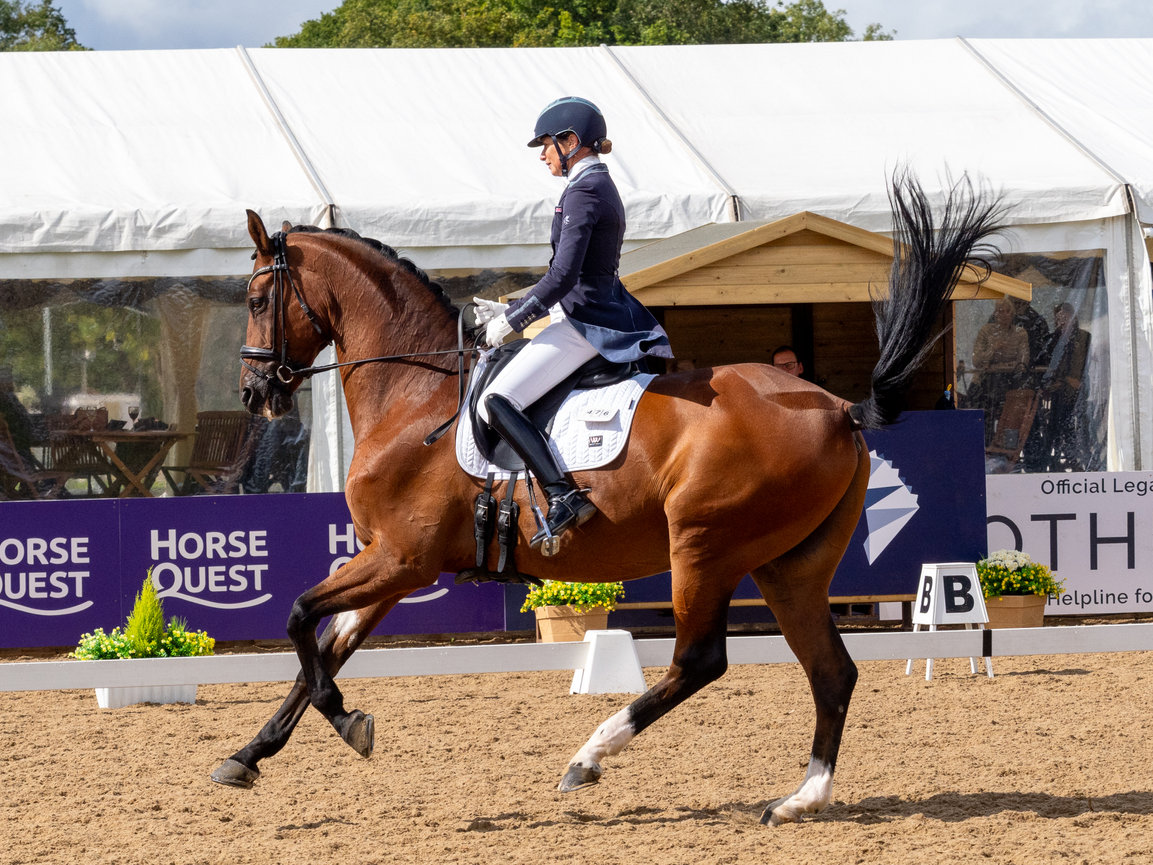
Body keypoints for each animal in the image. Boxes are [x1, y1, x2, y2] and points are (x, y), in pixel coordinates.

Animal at [212, 173, 1004, 826]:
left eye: (254, 299)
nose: (253, 395)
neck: (415, 398)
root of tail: (839, 409)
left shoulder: (403, 557)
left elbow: (299, 620)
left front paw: (349, 722)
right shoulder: (394, 562)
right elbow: (323, 648)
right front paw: (246, 756)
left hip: (705, 547)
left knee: (699, 661)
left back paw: (589, 756)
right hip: (790, 565)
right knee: (830, 670)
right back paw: (801, 798)